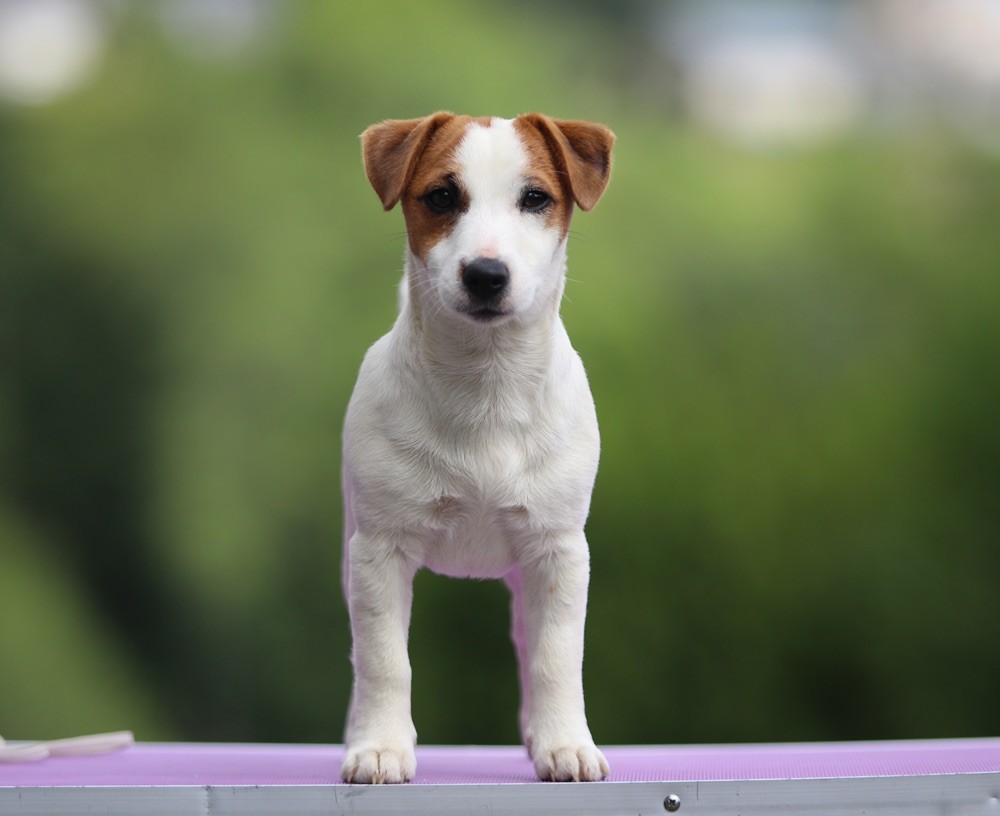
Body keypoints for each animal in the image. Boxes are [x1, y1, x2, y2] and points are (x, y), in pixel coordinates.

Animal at [340, 111, 612, 780]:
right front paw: (381, 746)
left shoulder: (559, 554)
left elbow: (555, 657)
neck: (486, 386)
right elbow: (384, 659)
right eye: (442, 196)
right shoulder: (379, 554)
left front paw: (565, 743)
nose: (486, 274)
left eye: (536, 198)